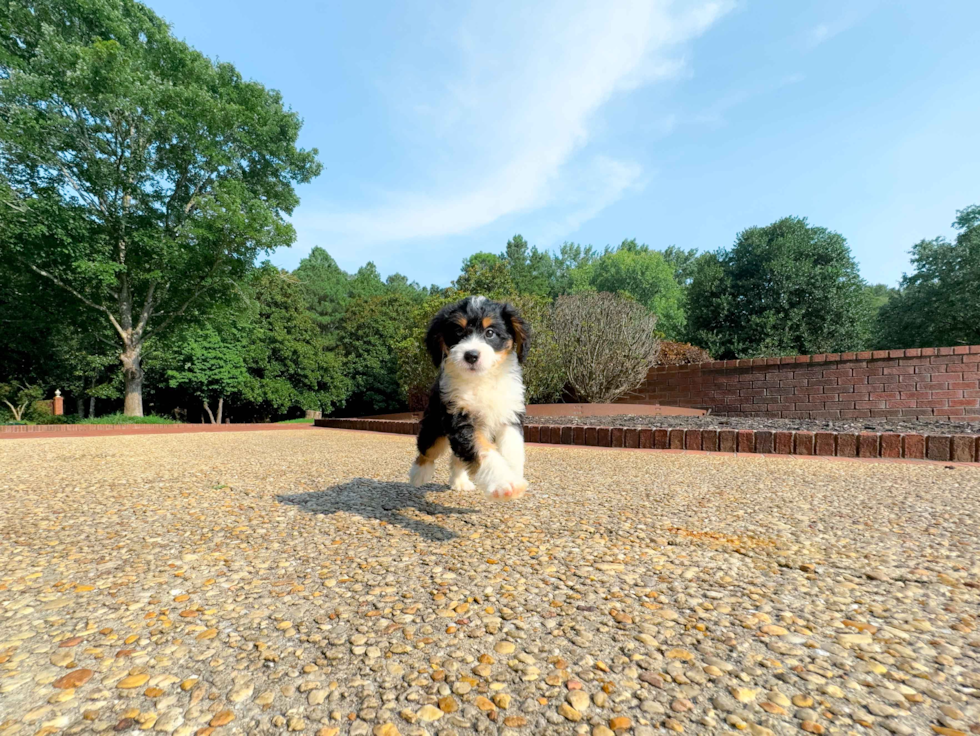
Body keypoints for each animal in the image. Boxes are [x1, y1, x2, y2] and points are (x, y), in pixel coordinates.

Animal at [406, 294, 528, 500]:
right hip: (434, 425)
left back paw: (459, 481)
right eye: (458, 332)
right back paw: (418, 474)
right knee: (427, 449)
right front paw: (505, 483)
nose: (471, 355)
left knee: (457, 457)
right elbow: (484, 450)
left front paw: (513, 476)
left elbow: (513, 449)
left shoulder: (509, 415)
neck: (482, 379)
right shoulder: (459, 418)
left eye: (489, 333)